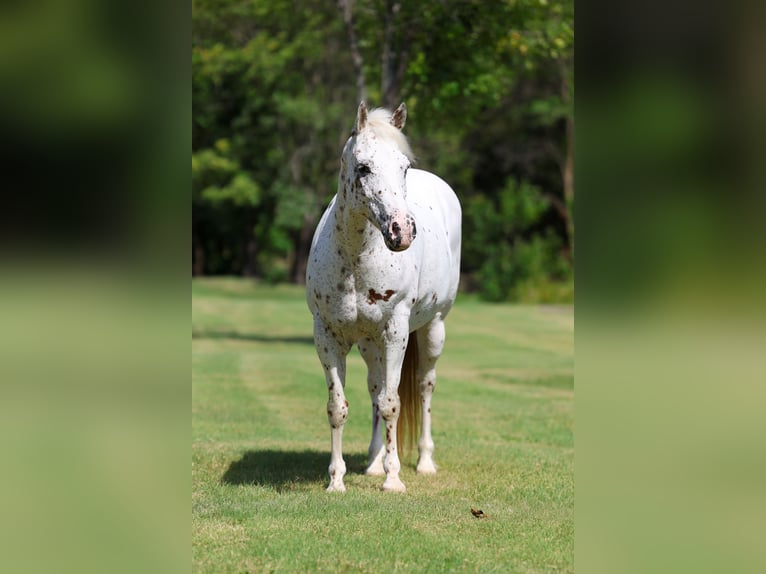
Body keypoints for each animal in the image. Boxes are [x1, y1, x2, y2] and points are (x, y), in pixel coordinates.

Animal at [306, 101, 461, 492]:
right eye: (363, 167)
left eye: (403, 167)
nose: (402, 230)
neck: (355, 258)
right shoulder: (327, 337)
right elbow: (339, 407)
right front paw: (337, 481)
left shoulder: (395, 333)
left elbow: (392, 403)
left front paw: (394, 480)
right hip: (369, 343)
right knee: (375, 388)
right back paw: (375, 461)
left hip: (432, 330)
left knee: (423, 386)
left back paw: (423, 462)